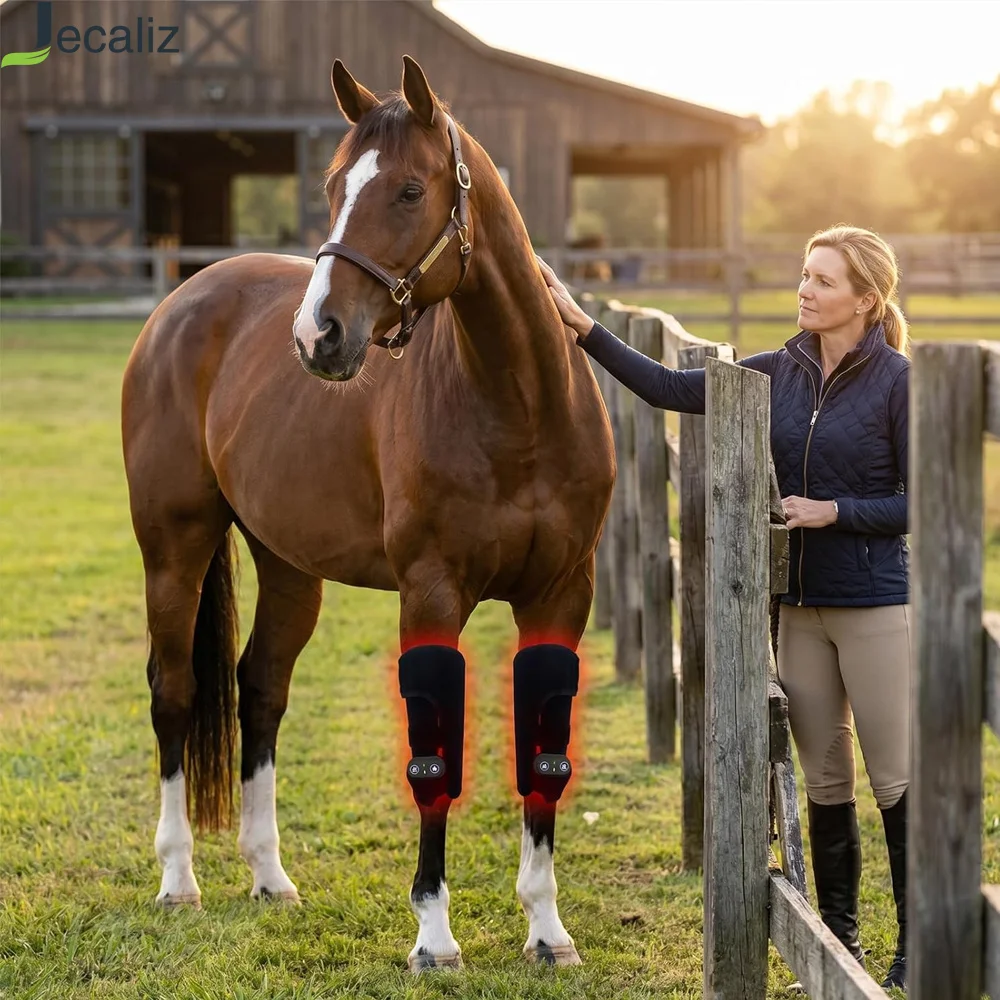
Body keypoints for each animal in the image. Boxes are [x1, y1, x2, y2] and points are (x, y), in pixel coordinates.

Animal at [121, 55, 615, 971]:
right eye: (330, 186)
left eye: (411, 191)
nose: (319, 335)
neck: (520, 406)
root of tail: (182, 301)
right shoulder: (431, 595)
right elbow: (431, 762)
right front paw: (434, 937)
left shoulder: (562, 595)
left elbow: (545, 759)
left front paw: (547, 929)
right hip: (174, 549)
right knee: (174, 692)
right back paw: (178, 880)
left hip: (287, 567)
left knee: (259, 689)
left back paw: (269, 876)